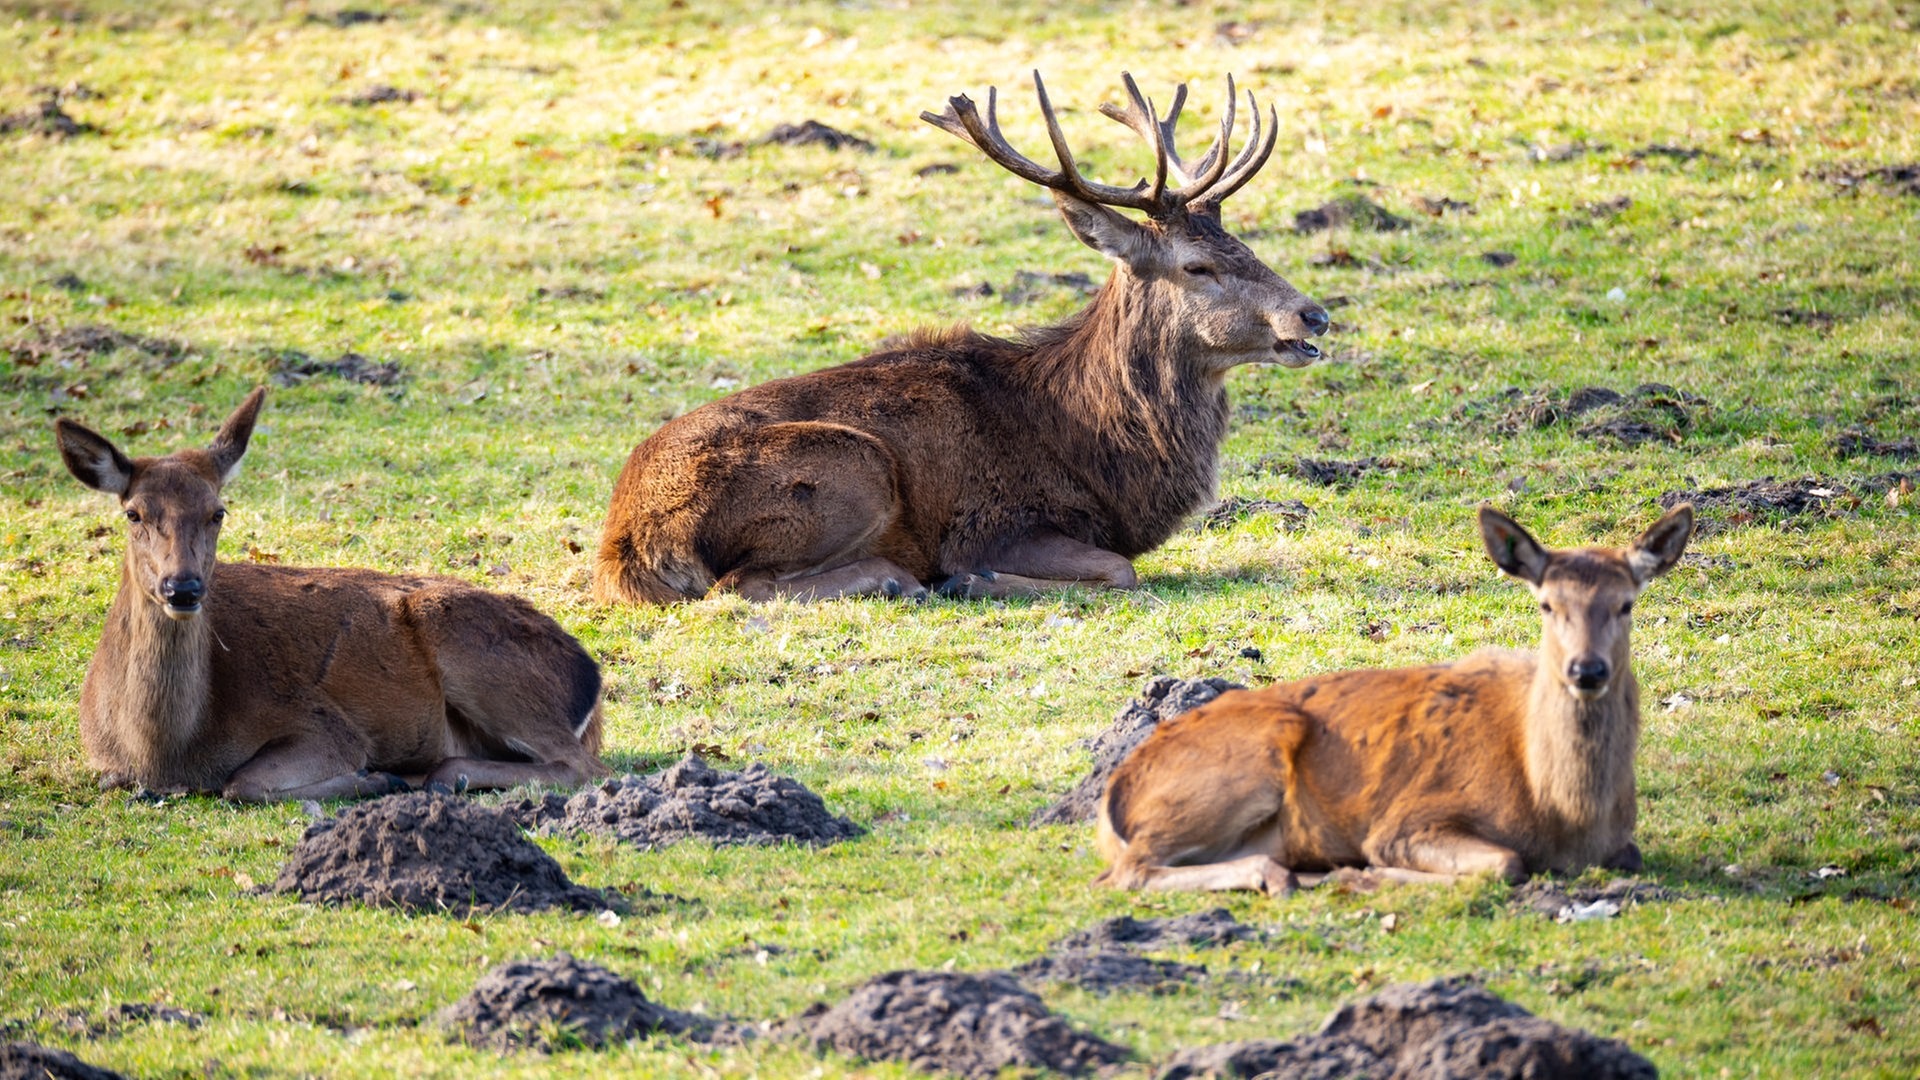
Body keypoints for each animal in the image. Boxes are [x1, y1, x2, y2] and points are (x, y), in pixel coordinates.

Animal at [54, 386, 606, 799]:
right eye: (134, 513)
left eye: (218, 511)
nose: (183, 587)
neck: (163, 752)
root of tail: (590, 678)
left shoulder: (322, 724)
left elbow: (241, 783)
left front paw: (377, 778)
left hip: (477, 657)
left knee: (583, 766)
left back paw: (430, 777)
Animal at [591, 71, 1328, 599]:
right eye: (1197, 266)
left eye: (1246, 244)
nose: (1313, 316)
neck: (1098, 450)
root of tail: (624, 545)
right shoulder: (999, 521)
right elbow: (1122, 570)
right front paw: (977, 580)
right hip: (852, 465)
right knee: (737, 587)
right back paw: (900, 579)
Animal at [1098, 503, 1697, 891]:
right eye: (1547, 603)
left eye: (1626, 603)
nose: (1587, 669)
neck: (1562, 812)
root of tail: (1112, 799)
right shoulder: (1409, 820)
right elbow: (1506, 863)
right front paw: (1365, 873)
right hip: (1247, 761)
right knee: (1128, 872)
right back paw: (1286, 875)